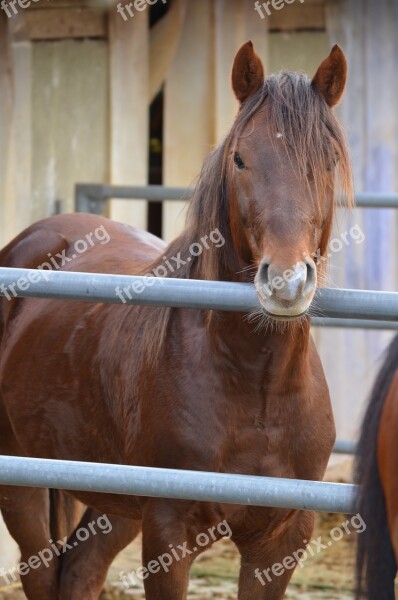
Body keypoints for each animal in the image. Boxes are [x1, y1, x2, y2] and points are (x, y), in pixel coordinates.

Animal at [1, 43, 352, 600]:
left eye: (329, 160)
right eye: (240, 158)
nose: (286, 280)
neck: (259, 386)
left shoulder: (282, 536)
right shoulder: (169, 528)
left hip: (113, 499)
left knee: (81, 569)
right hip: (22, 482)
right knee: (40, 569)